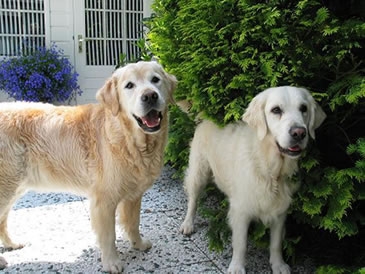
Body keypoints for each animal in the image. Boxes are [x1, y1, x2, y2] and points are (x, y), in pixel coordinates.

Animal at [0, 60, 176, 272]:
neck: (129, 140)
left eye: (155, 80)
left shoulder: (134, 195)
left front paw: (139, 244)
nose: (150, 96)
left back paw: (11, 243)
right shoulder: (104, 201)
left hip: (14, 188)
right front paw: (112, 262)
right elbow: (108, 236)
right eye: (129, 85)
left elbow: (133, 223)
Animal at [181, 86, 326, 272]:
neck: (271, 170)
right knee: (193, 200)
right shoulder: (241, 211)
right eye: (276, 110)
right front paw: (237, 267)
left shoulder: (280, 212)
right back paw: (188, 224)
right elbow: (241, 243)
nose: (299, 133)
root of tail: (206, 118)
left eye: (303, 108)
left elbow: (276, 243)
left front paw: (278, 265)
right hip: (198, 173)